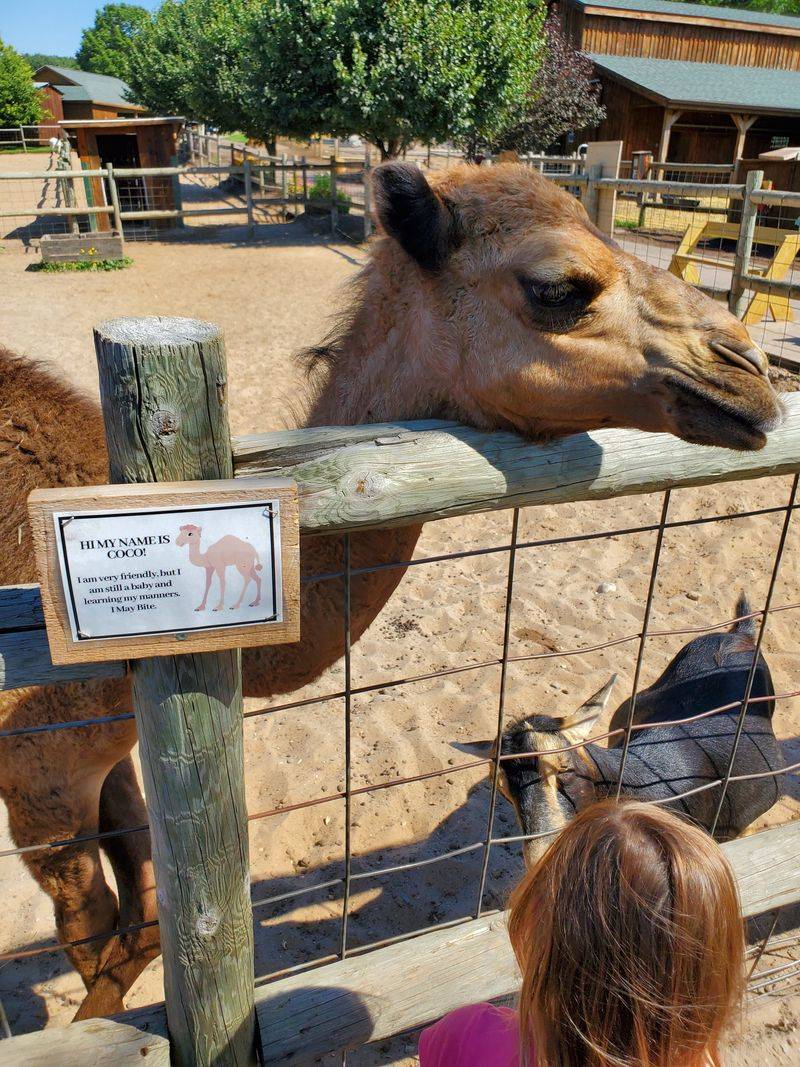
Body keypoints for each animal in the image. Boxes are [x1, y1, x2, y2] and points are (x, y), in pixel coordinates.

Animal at [0, 161, 782, 1020]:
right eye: (557, 286)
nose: (751, 370)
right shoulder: (39, 771)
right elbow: (95, 930)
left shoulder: (94, 753)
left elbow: (135, 912)